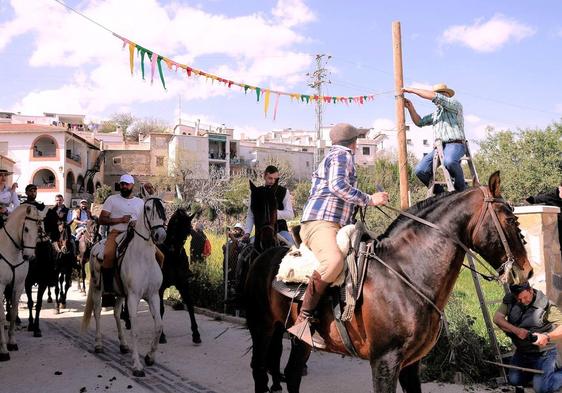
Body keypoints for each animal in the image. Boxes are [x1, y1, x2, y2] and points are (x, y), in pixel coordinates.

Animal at [0, 204, 42, 360]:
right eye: (26, 229)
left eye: (39, 229)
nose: (30, 256)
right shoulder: (0, 286)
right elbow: (2, 316)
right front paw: (3, 350)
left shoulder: (18, 286)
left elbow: (13, 313)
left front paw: (11, 343)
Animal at [82, 196, 166, 376]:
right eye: (148, 208)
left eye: (163, 208)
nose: (160, 235)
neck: (143, 258)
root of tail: (96, 245)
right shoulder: (133, 297)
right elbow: (134, 329)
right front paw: (137, 366)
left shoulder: (153, 295)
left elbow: (158, 326)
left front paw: (150, 357)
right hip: (98, 289)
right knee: (97, 312)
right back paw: (98, 344)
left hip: (120, 293)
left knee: (115, 312)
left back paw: (123, 345)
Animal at [245, 172, 528, 392]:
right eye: (510, 220)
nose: (526, 270)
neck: (405, 274)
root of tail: (262, 255)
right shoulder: (385, 361)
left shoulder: (410, 365)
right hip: (263, 327)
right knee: (259, 370)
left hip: (299, 341)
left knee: (292, 374)